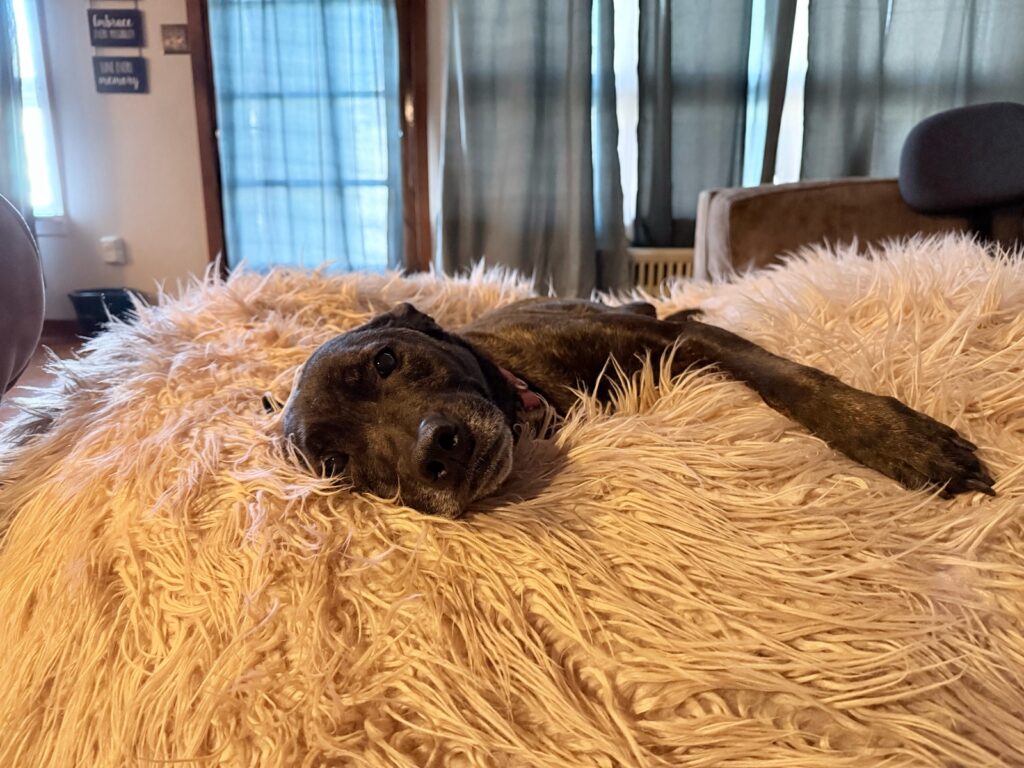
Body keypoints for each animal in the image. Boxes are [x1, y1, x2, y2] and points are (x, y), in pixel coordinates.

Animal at [278, 299, 991, 518]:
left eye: (385, 361)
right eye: (336, 464)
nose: (437, 453)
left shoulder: (680, 343)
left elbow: (792, 380)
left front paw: (901, 438)